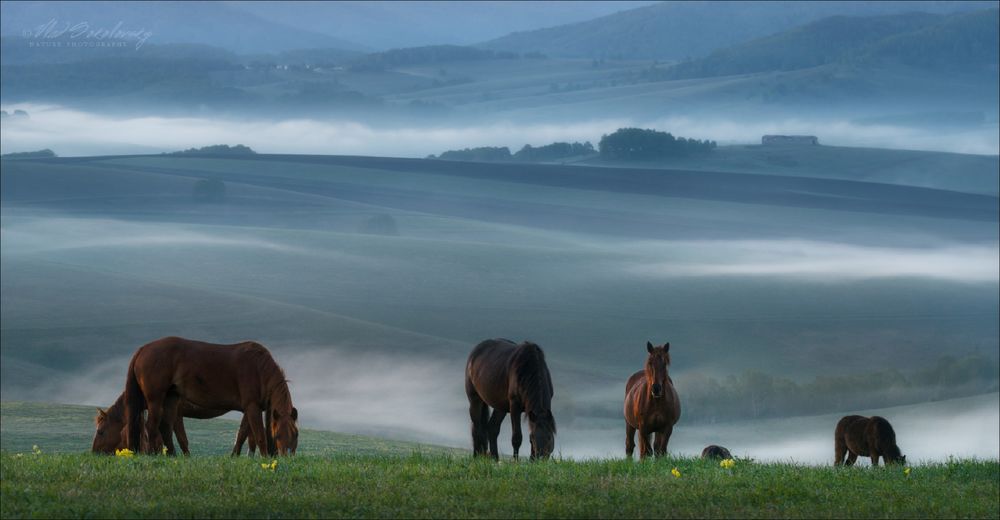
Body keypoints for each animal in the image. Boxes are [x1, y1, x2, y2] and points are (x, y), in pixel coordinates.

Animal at [123, 338, 298, 456]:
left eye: (296, 434)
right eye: (277, 435)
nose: (287, 457)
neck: (258, 368)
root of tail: (143, 349)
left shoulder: (250, 408)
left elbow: (242, 435)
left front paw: (234, 457)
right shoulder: (252, 407)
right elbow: (259, 436)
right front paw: (265, 459)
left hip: (171, 398)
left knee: (165, 427)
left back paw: (172, 456)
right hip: (156, 399)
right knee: (151, 427)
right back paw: (154, 455)